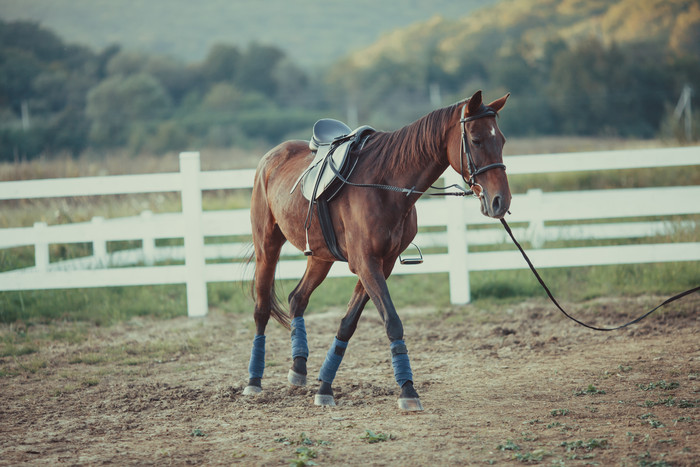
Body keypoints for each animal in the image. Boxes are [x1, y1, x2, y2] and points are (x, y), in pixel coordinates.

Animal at [243, 89, 512, 412]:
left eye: (502, 141)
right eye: (476, 140)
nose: (500, 201)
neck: (385, 185)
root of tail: (270, 157)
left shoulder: (382, 263)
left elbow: (348, 323)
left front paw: (325, 386)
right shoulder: (366, 263)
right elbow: (392, 321)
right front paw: (408, 390)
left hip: (320, 256)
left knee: (298, 298)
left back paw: (299, 367)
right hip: (267, 246)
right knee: (261, 309)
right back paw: (254, 381)